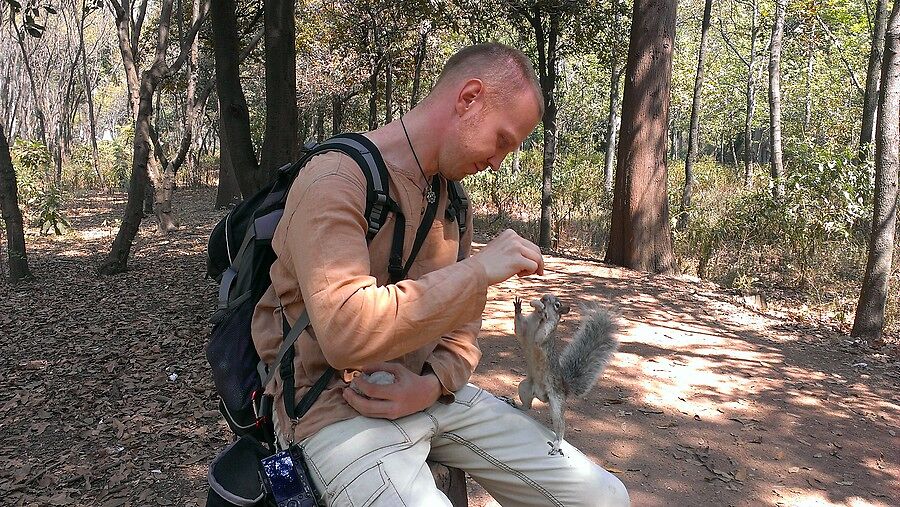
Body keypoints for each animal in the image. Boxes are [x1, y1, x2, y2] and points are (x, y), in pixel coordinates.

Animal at [512, 294, 620, 456]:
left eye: (557, 305)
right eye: (545, 295)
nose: (543, 298)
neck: (536, 319)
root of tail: (564, 386)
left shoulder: (545, 336)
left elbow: (541, 335)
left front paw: (546, 317)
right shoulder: (525, 329)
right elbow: (519, 330)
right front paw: (518, 308)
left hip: (556, 401)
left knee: (560, 425)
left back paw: (558, 443)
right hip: (525, 387)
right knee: (527, 407)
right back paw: (517, 405)